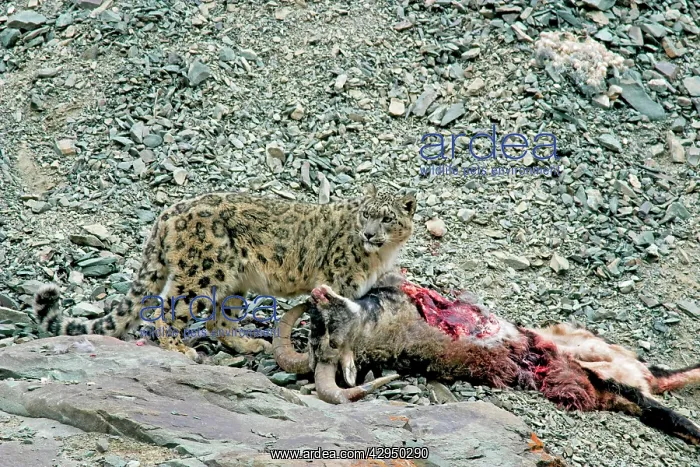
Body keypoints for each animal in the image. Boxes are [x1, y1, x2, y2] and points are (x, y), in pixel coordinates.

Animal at [32, 183, 417, 359]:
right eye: (366, 213)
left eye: (387, 218)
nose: (369, 234)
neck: (380, 256)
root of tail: (167, 213)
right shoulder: (339, 284)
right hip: (201, 275)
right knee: (168, 309)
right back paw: (180, 349)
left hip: (233, 284)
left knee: (219, 320)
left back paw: (249, 343)